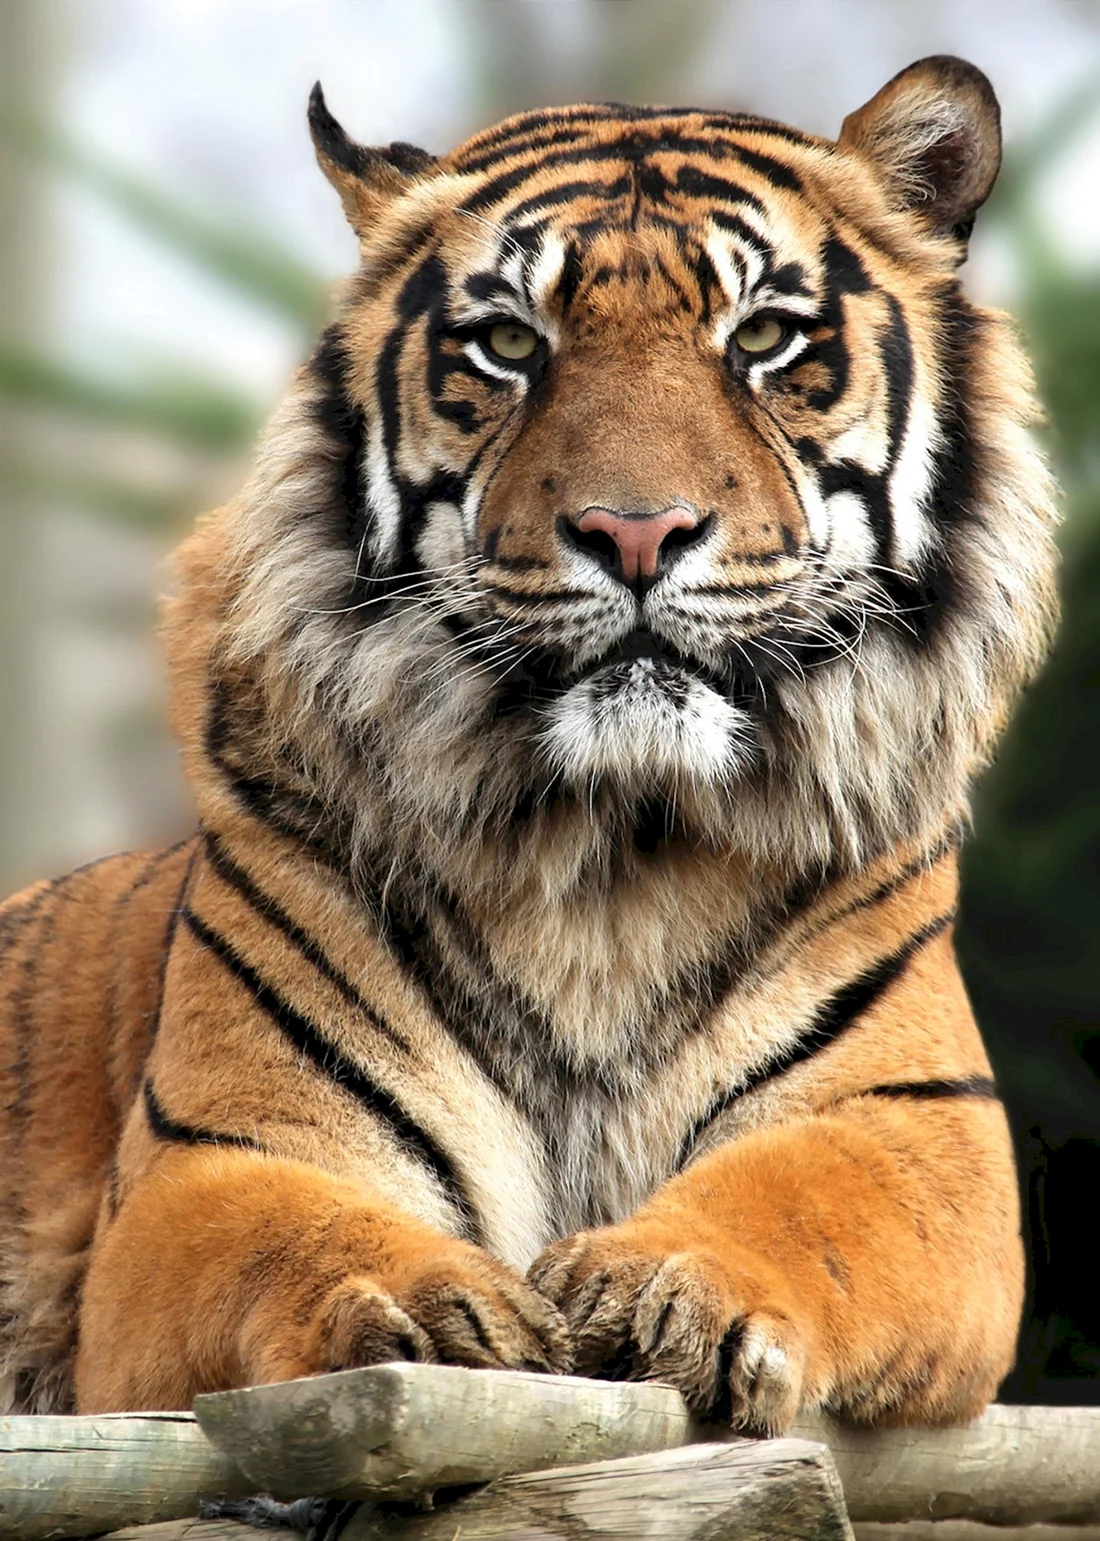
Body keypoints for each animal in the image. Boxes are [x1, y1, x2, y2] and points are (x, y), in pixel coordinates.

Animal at [0, 54, 1057, 1432]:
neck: (616, 847)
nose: (635, 529)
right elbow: (296, 1237)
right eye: (508, 343)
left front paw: (659, 1285)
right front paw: (434, 1310)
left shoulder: (910, 1124)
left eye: (762, 337)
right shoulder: (221, 1157)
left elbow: (797, 1198)